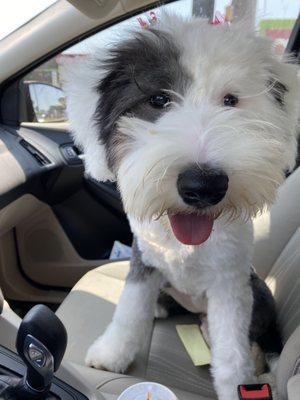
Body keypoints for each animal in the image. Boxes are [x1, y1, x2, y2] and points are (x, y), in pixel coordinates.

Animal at [62, 14, 298, 398]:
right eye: (158, 99)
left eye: (231, 100)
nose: (204, 186)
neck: (186, 244)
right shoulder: (143, 260)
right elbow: (129, 311)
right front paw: (111, 354)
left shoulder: (230, 283)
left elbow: (231, 348)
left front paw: (235, 385)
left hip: (257, 294)